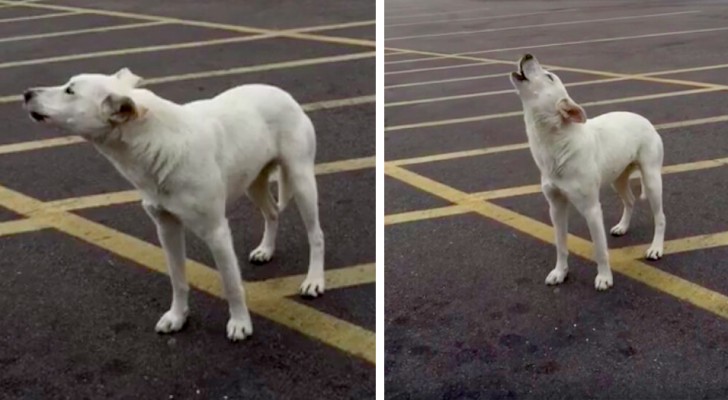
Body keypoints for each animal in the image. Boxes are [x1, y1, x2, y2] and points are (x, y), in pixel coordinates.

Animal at [23, 68, 324, 340]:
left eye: (70, 91)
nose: (26, 94)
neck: (156, 141)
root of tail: (284, 94)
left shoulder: (216, 231)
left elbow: (230, 283)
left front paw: (240, 323)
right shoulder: (166, 227)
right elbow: (177, 279)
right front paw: (178, 317)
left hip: (301, 180)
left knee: (316, 235)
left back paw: (314, 280)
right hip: (254, 182)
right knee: (272, 212)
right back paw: (266, 250)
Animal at [510, 54, 664, 290]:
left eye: (549, 76)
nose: (528, 55)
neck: (557, 143)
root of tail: (644, 119)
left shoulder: (591, 209)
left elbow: (600, 249)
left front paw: (604, 277)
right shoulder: (555, 207)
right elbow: (560, 244)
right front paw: (560, 272)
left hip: (652, 179)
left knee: (660, 217)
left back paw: (656, 248)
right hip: (618, 179)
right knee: (629, 200)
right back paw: (622, 226)